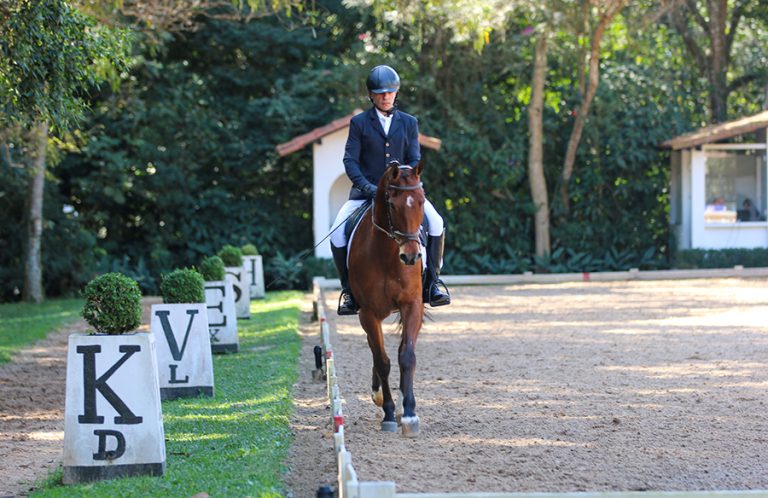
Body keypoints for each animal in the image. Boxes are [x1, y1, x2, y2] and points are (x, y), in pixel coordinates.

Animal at [348, 161, 426, 438]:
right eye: (392, 204)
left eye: (422, 201)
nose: (411, 257)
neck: (386, 253)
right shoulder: (369, 312)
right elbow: (382, 361)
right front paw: (390, 414)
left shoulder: (412, 305)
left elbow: (407, 356)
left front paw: (410, 414)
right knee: (375, 350)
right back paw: (380, 396)